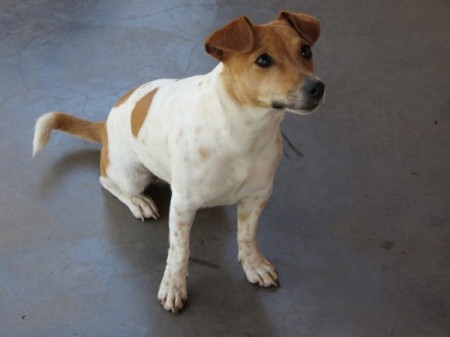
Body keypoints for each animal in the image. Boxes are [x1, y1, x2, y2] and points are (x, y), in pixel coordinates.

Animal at [33, 11, 326, 312]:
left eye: (306, 50)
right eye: (263, 60)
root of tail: (105, 124)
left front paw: (253, 265)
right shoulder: (183, 205)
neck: (242, 131)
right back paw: (138, 202)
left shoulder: (256, 197)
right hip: (130, 176)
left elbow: (247, 237)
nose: (317, 87)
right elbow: (179, 251)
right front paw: (173, 286)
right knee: (107, 182)